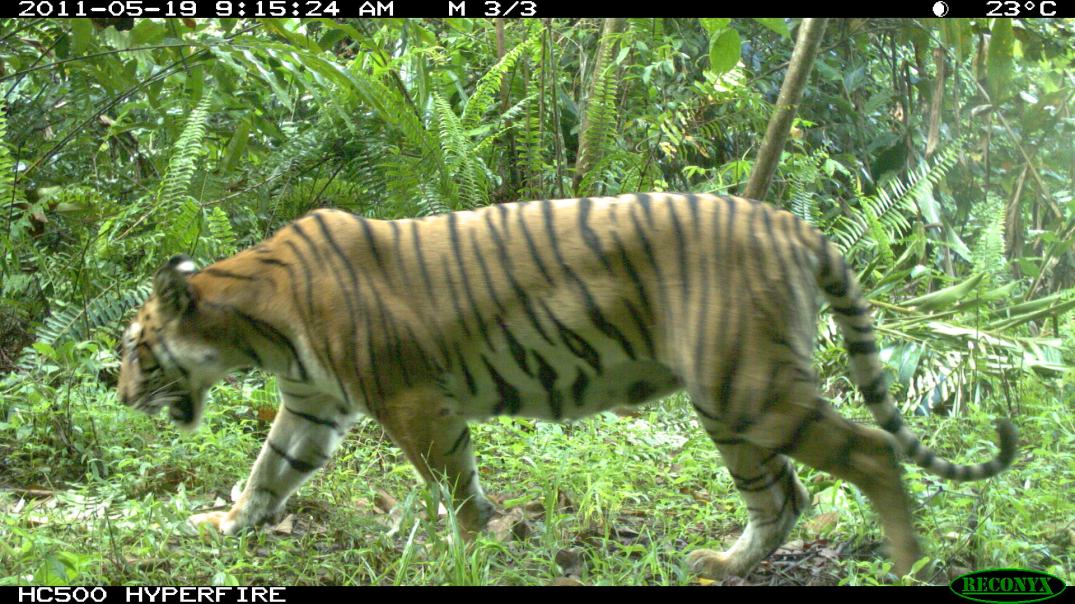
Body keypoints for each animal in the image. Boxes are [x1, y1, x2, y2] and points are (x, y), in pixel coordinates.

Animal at [117, 193, 1017, 580]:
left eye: (137, 349)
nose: (116, 392)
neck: (254, 326)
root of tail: (790, 222)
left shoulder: (413, 403)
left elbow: (455, 486)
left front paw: (470, 552)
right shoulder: (314, 406)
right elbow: (268, 475)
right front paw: (225, 525)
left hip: (748, 387)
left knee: (870, 454)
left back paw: (905, 566)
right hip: (728, 399)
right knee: (783, 496)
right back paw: (722, 563)